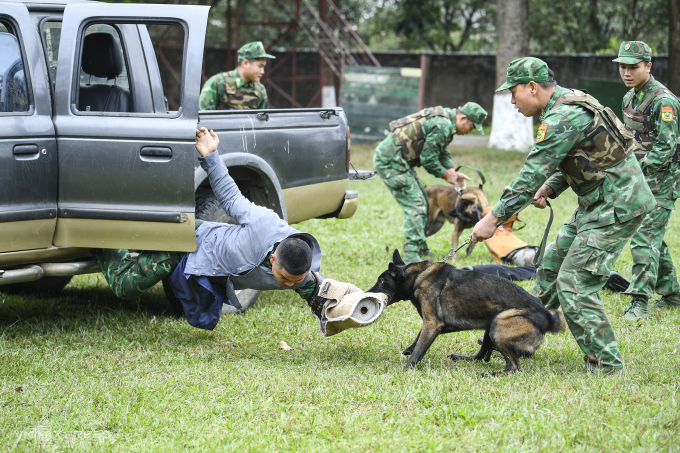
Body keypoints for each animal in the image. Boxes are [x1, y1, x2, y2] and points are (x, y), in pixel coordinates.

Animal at [370, 249, 564, 376]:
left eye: (382, 282)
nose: (368, 292)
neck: (418, 276)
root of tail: (546, 316)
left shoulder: (432, 324)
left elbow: (420, 349)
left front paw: (407, 369)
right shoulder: (436, 324)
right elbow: (418, 339)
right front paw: (409, 350)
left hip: (499, 326)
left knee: (514, 367)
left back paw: (491, 375)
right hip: (491, 325)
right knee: (482, 356)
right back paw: (465, 359)